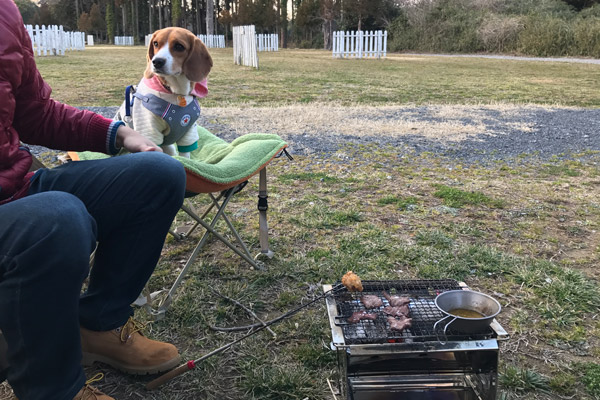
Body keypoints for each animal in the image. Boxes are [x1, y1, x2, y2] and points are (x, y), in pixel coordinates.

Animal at [115, 26, 213, 157]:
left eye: (179, 46)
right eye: (156, 43)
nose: (156, 61)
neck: (176, 93)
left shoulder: (189, 131)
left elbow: (185, 156)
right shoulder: (149, 131)